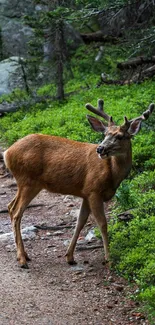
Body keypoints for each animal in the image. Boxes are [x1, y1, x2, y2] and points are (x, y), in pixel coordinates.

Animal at [2, 98, 154, 268]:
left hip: (25, 183)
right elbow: (102, 223)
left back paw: (25, 256)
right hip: (28, 181)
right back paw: (22, 259)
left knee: (10, 206)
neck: (112, 174)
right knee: (16, 213)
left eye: (121, 136)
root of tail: (7, 153)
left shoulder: (86, 193)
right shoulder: (94, 190)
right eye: (105, 134)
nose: (100, 149)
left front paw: (69, 257)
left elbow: (80, 222)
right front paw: (108, 258)